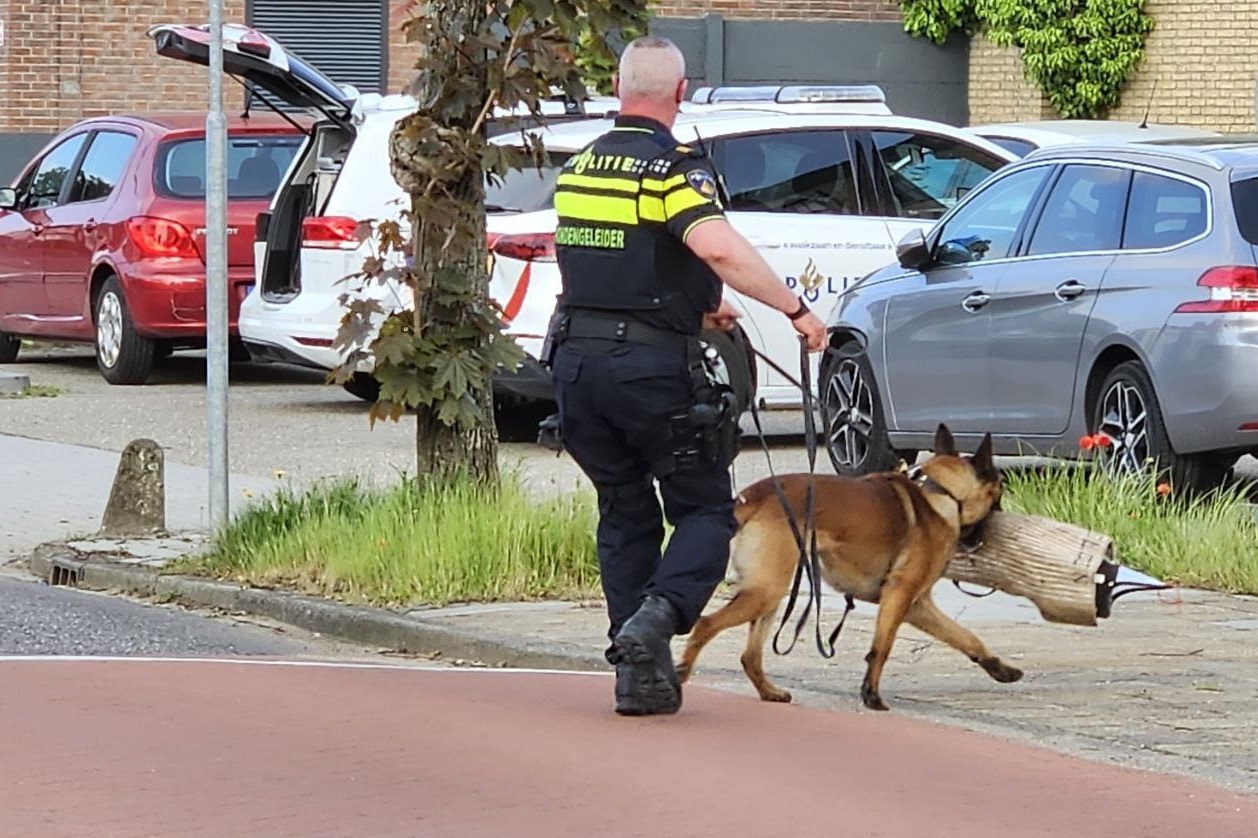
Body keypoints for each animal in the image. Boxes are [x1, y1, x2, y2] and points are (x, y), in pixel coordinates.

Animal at [679, 420, 1021, 709]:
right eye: (999, 495)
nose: (1002, 517)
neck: (941, 492)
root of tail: (752, 494)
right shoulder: (900, 595)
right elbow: (881, 647)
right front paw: (871, 695)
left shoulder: (917, 605)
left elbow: (966, 637)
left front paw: (1000, 668)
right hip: (766, 591)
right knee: (706, 625)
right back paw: (681, 672)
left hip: (771, 593)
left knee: (750, 655)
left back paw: (769, 692)